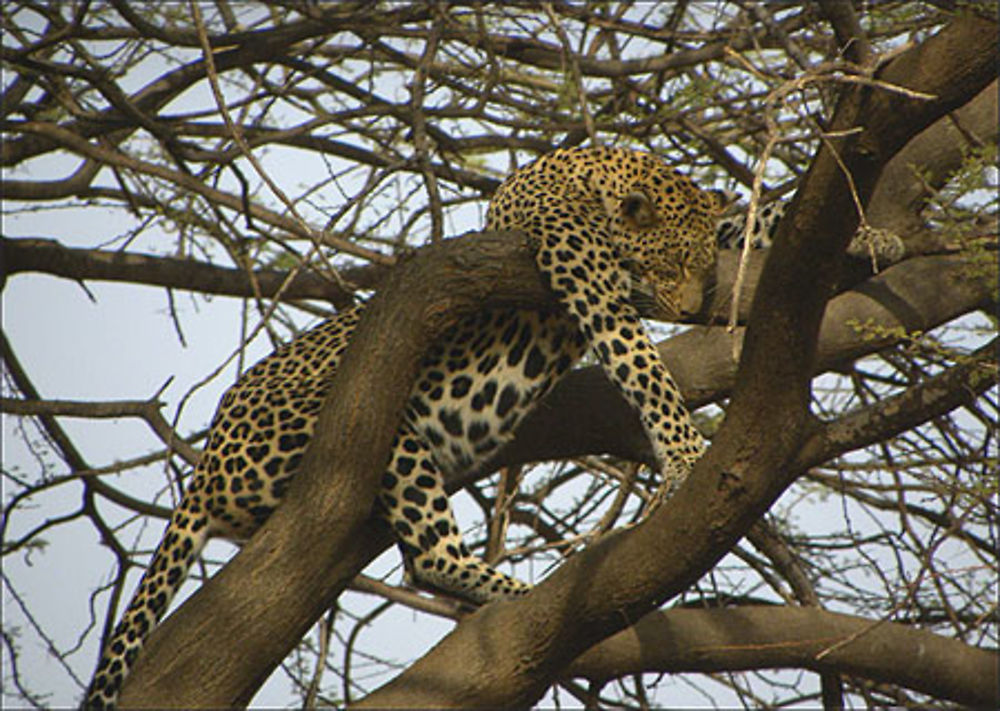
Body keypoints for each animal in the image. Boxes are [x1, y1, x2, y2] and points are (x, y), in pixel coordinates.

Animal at [82, 147, 724, 708]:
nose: (693, 311)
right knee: (428, 557)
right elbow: (639, 362)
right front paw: (687, 453)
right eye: (672, 263)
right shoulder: (584, 273)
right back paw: (523, 593)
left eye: (705, 268)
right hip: (369, 427)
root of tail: (206, 467)